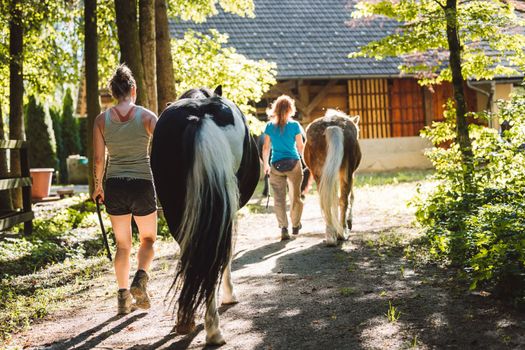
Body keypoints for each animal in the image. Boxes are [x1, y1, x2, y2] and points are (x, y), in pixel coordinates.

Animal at [149, 85, 260, 344]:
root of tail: (198, 116)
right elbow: (227, 252)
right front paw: (230, 294)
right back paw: (213, 330)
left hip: (175, 207)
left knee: (192, 250)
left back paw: (185, 319)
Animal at [302, 109, 360, 246]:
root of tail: (332, 126)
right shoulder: (351, 173)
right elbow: (350, 197)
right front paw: (349, 222)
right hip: (346, 173)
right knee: (344, 199)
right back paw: (342, 233)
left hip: (319, 174)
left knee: (326, 200)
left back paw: (331, 236)